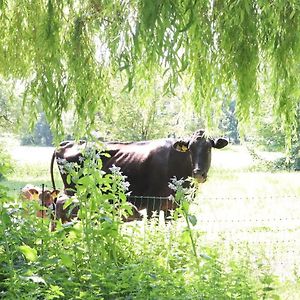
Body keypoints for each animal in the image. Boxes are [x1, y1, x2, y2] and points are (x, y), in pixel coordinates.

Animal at [50, 130, 227, 219]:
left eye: (209, 148)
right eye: (190, 148)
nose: (198, 173)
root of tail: (68, 143)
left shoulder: (173, 206)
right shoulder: (152, 204)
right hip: (73, 196)